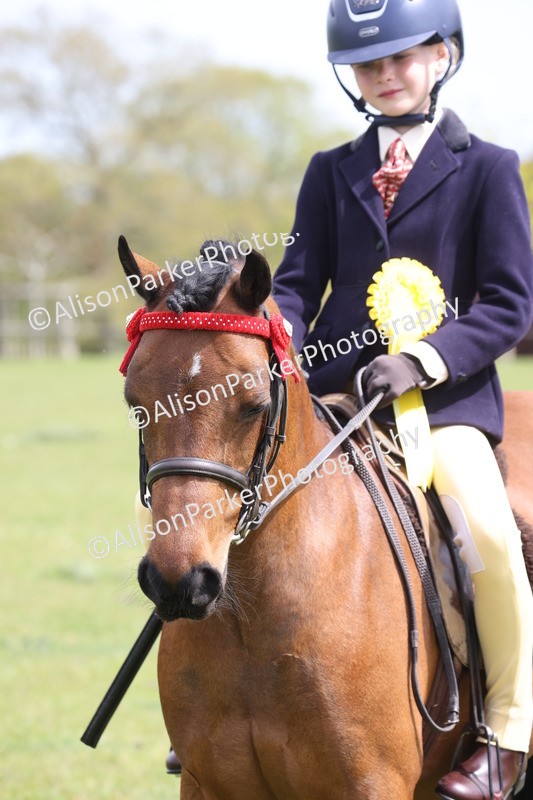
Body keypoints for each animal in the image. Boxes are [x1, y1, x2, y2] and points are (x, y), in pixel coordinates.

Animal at [118, 235, 532, 799]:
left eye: (253, 405)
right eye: (136, 405)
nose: (180, 583)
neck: (254, 621)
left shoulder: (373, 783)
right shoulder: (209, 785)